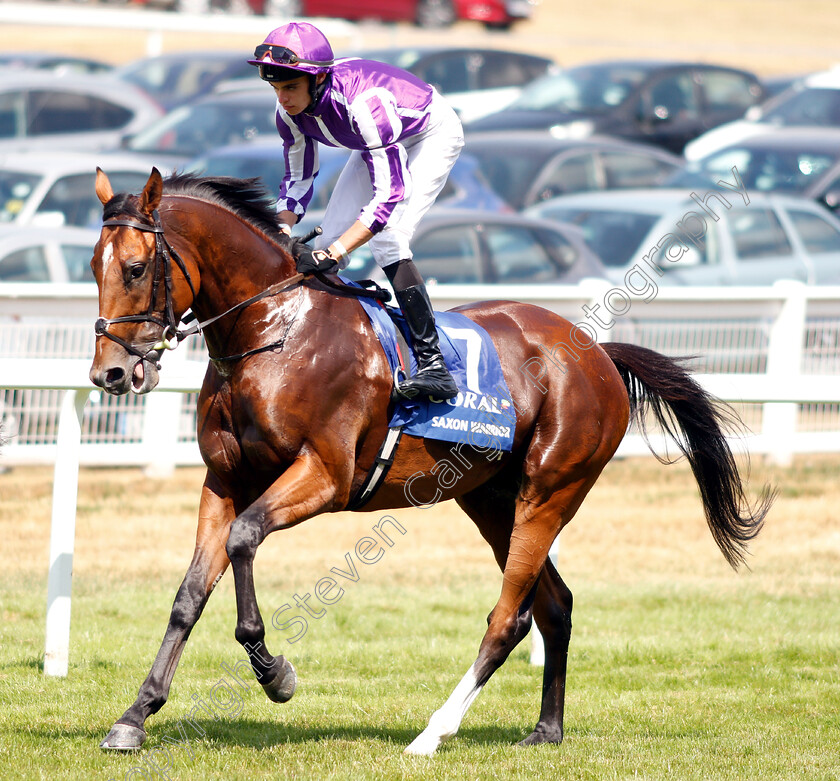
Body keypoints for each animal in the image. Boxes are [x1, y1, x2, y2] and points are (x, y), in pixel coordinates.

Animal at [88, 168, 772, 752]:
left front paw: (274, 672)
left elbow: (243, 540)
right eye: (95, 266)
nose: (110, 373)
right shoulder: (224, 479)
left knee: (508, 617)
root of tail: (597, 352)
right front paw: (136, 715)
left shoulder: (324, 476)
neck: (273, 332)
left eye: (136, 267)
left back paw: (432, 733)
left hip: (550, 491)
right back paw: (546, 729)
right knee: (553, 606)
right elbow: (189, 594)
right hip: (490, 499)